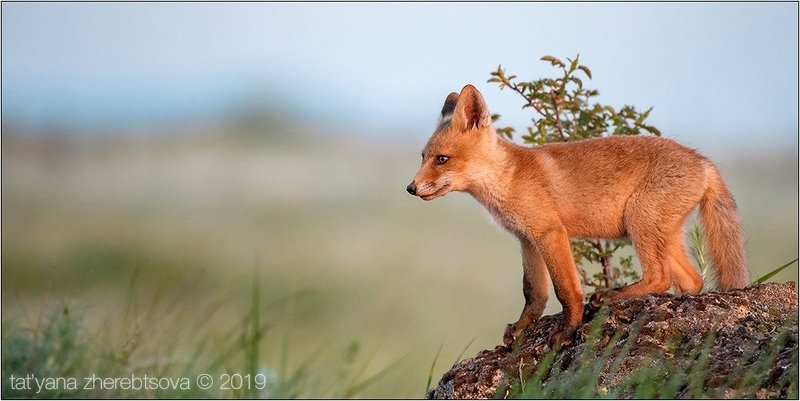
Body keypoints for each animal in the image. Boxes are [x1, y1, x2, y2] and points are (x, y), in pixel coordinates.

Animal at [406, 84, 749, 348]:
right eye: (423, 158)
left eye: (442, 159)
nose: (410, 188)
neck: (507, 180)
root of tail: (704, 162)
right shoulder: (526, 239)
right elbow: (534, 293)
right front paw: (521, 328)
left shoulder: (550, 233)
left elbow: (566, 290)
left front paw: (567, 332)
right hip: (661, 233)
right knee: (691, 281)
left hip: (639, 222)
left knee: (660, 277)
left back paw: (611, 297)